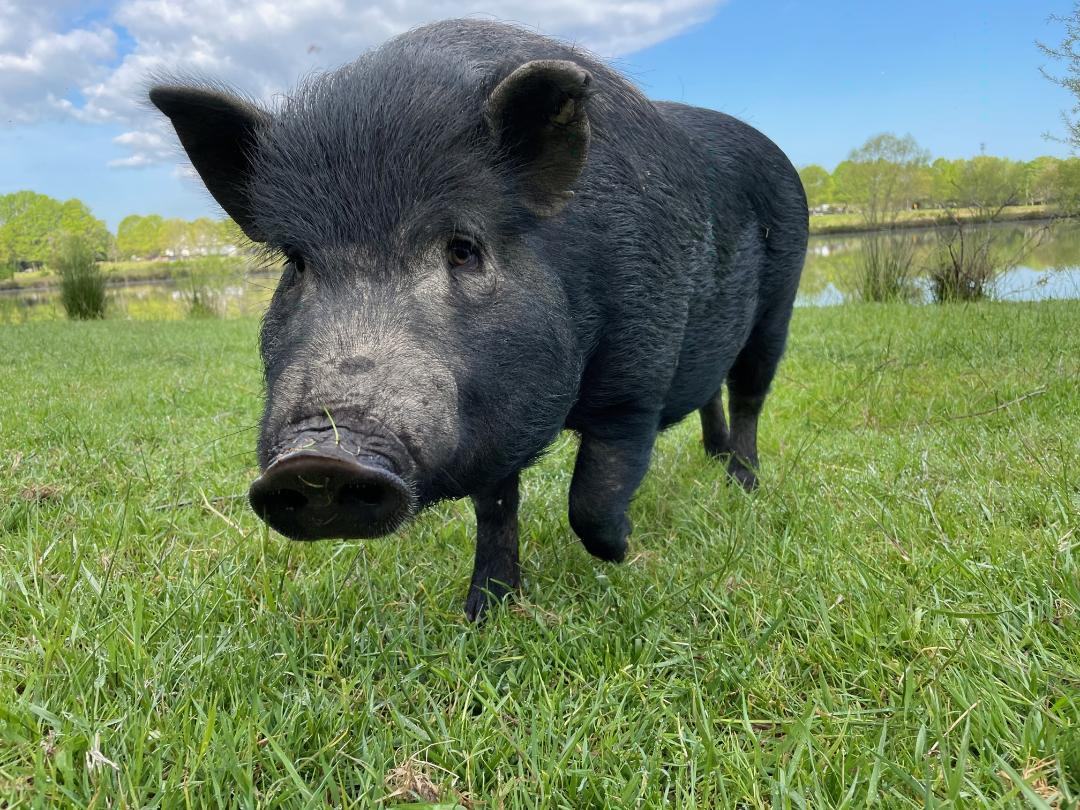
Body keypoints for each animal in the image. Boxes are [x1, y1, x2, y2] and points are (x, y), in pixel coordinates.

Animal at [151, 19, 808, 620]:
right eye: (296, 262)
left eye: (464, 248)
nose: (320, 457)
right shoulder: (494, 416)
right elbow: (495, 508)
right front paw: (484, 613)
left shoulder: (638, 377)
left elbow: (593, 493)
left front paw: (622, 553)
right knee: (713, 394)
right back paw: (714, 461)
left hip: (779, 304)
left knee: (749, 394)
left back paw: (742, 485)